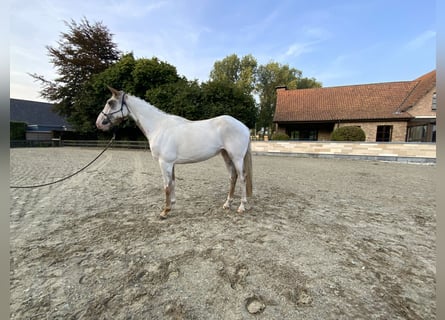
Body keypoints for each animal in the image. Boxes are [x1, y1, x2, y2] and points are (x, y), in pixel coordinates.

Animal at [95, 86, 251, 219]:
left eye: (110, 102)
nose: (98, 123)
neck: (158, 127)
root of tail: (244, 126)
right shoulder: (171, 164)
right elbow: (173, 183)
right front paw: (172, 205)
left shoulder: (165, 163)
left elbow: (166, 186)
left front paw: (165, 211)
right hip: (226, 155)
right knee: (232, 177)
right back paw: (227, 204)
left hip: (236, 157)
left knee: (242, 177)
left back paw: (242, 206)